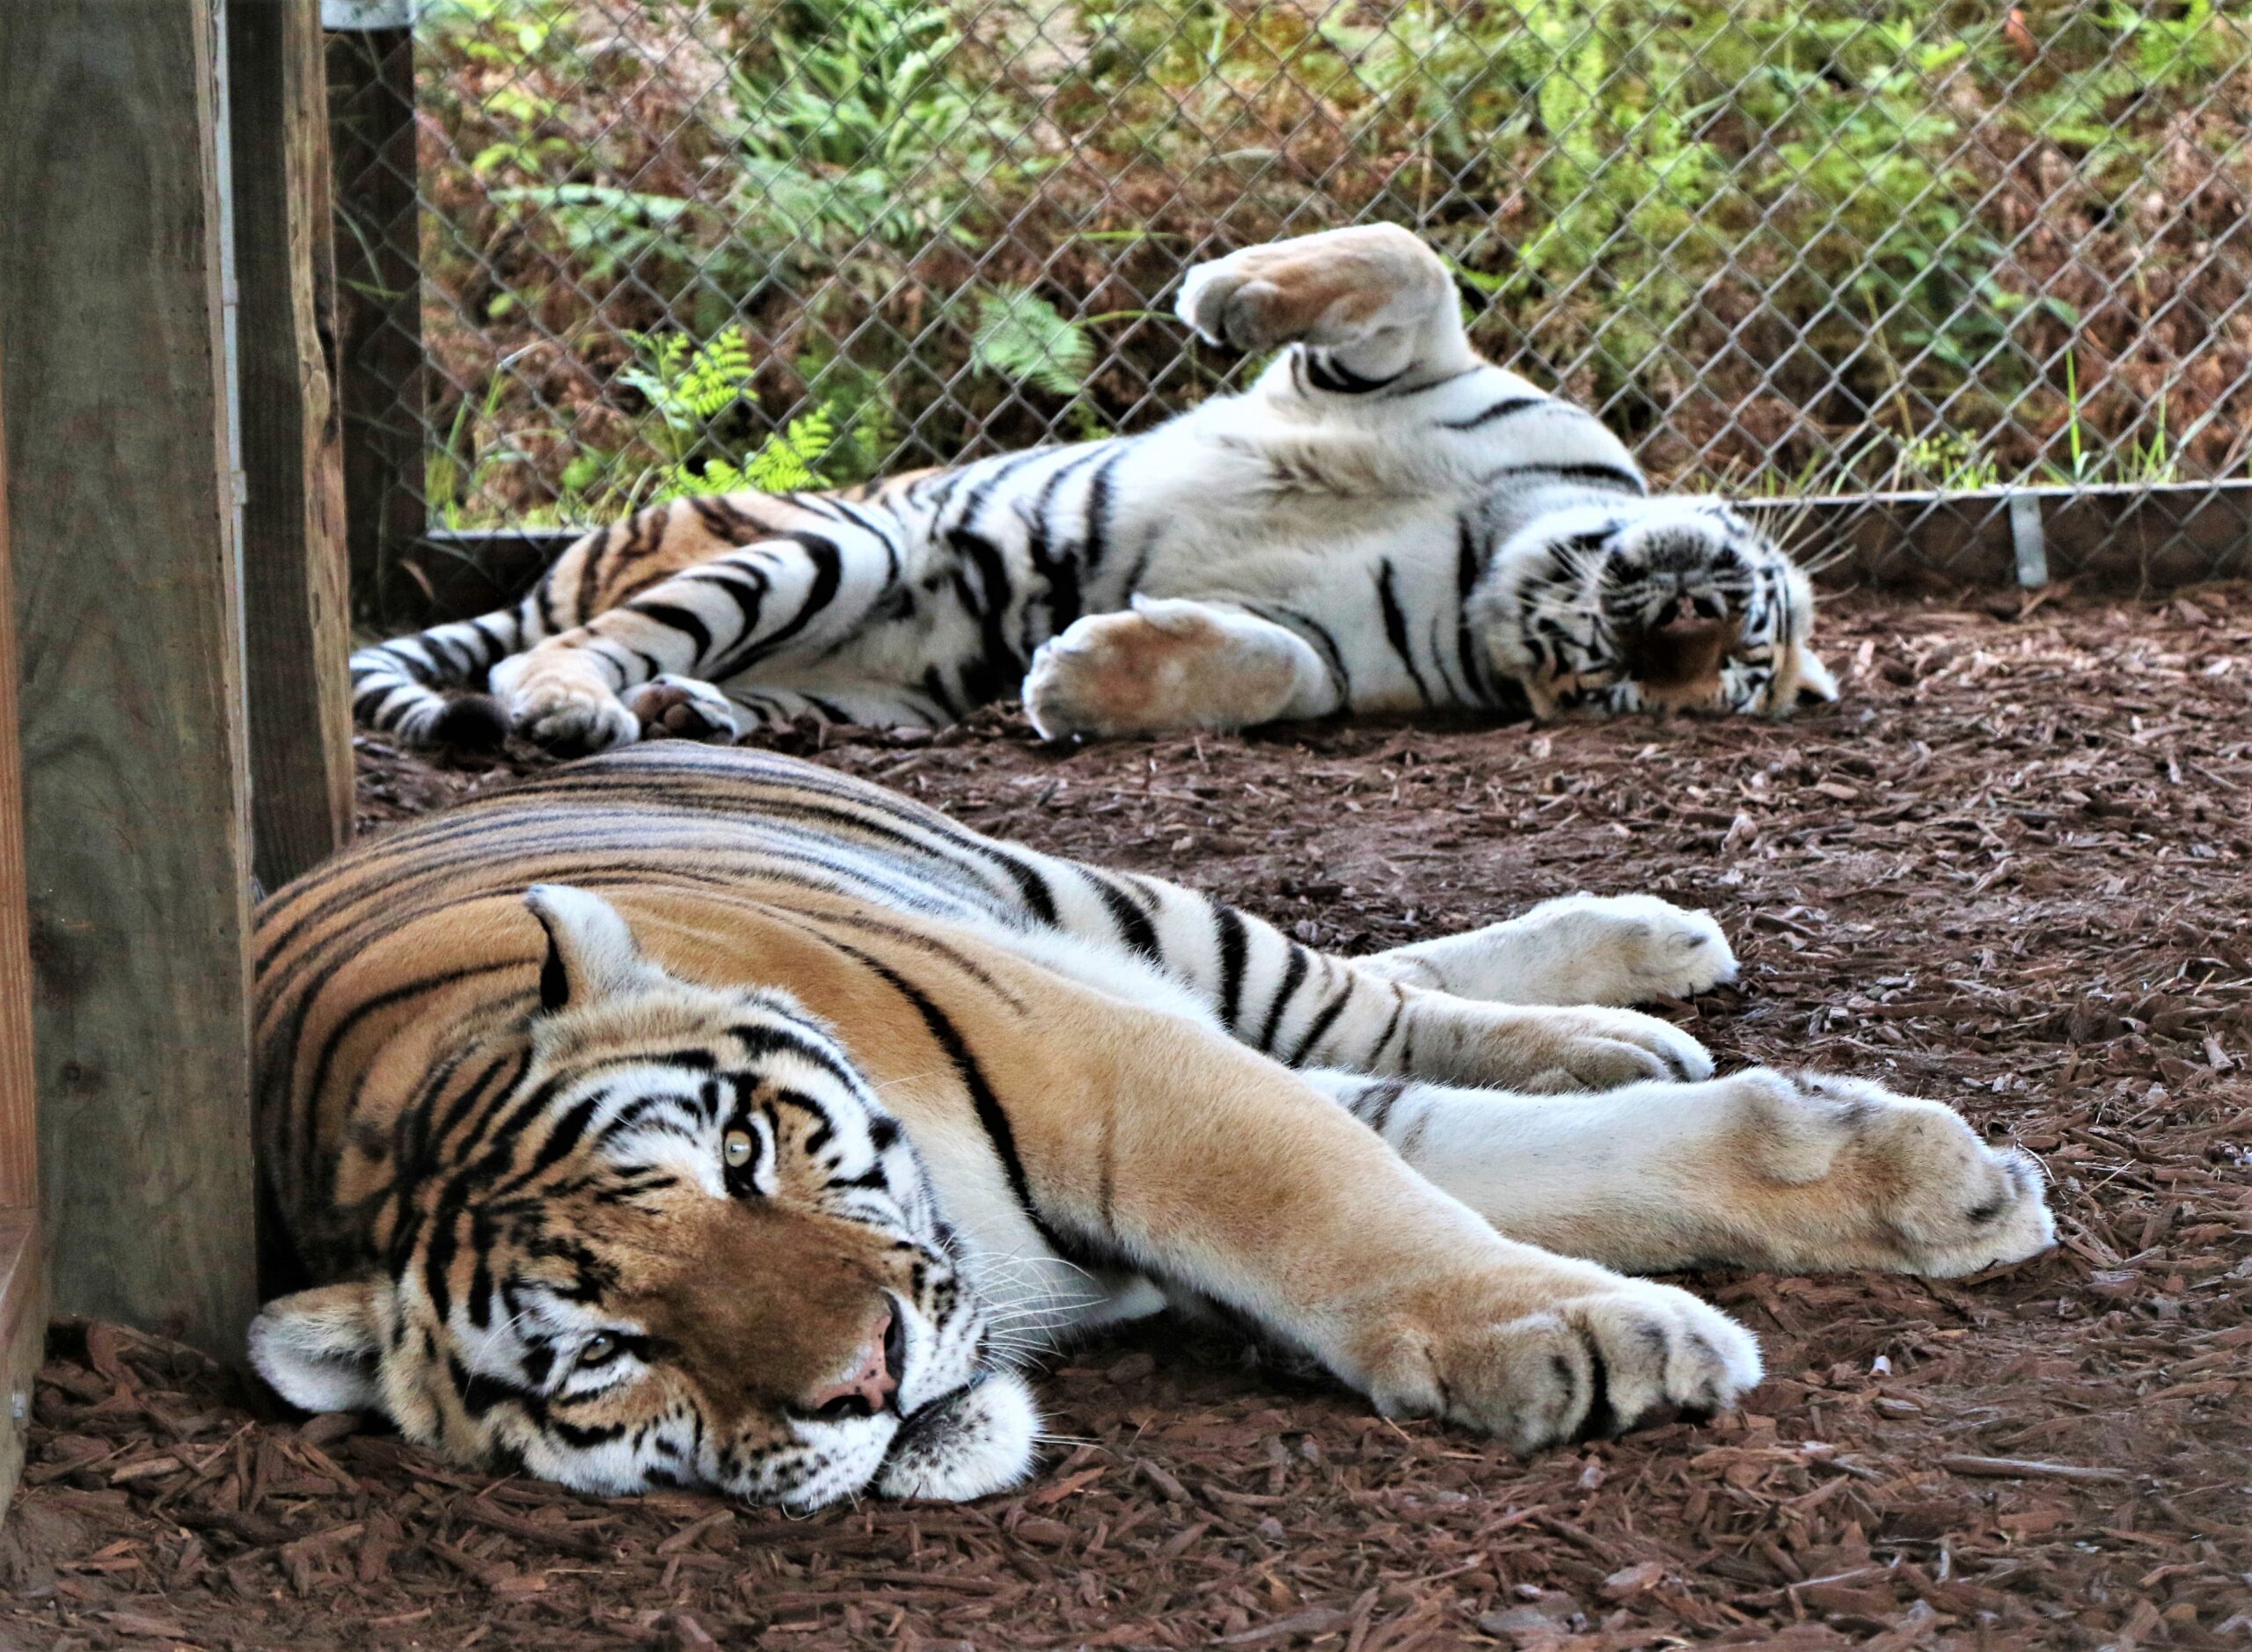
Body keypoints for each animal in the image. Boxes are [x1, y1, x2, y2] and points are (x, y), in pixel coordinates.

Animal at [250, 745, 2050, 1510]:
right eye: (606, 1354)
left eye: (744, 1156)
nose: (868, 1377)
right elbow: (1525, 1176)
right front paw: (1933, 1189)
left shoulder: (1128, 1069)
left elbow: (1347, 1209)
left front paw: (1589, 1336)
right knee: (1402, 1033)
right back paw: (1626, 1026)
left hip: (1114, 911)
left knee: (1347, 990)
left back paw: (1646, 959)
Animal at [348, 224, 1838, 755]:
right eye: (1743, 639)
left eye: (1684, 683)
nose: (1683, 618)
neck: (1491, 555)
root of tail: (563, 558)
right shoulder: (1415, 365)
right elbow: (1405, 259)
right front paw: (1225, 292)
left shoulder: (1325, 645)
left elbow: (1270, 666)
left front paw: (1071, 680)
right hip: (833, 550)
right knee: (568, 650)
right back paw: (578, 705)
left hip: (859, 673)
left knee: (614, 663)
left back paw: (676, 713)